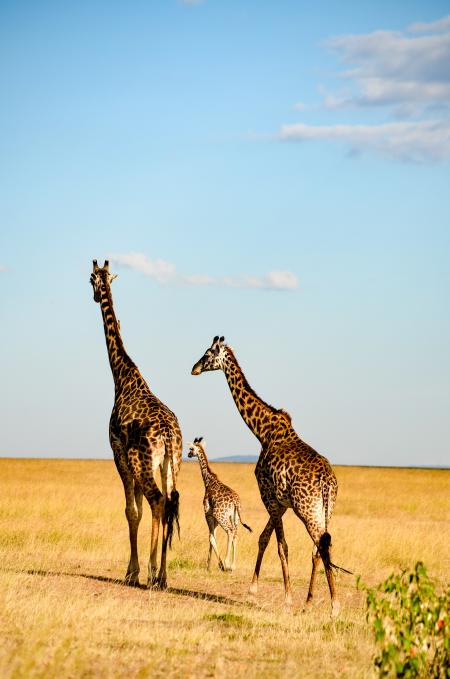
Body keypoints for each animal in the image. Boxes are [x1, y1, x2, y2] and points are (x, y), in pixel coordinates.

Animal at [89, 260, 182, 588]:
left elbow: (132, 511)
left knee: (158, 501)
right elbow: (139, 510)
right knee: (169, 503)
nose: (95, 295)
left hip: (141, 462)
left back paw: (154, 572)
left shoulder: (118, 453)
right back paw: (163, 575)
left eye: (90, 279)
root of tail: (168, 436)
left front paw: (132, 571)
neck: (122, 376)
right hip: (170, 465)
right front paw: (137, 569)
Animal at [185, 436, 251, 572]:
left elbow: (211, 537)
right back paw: (233, 565)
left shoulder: (208, 514)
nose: (188, 454)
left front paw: (216, 564)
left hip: (221, 516)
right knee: (236, 533)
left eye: (191, 448)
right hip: (235, 517)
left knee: (230, 531)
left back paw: (227, 563)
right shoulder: (214, 517)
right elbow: (213, 536)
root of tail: (235, 502)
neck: (208, 481)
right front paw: (209, 565)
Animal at [192, 338, 342, 620]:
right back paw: (309, 603)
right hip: (325, 510)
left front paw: (286, 600)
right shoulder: (280, 503)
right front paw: (252, 589)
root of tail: (328, 483)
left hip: (308, 509)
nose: (193, 368)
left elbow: (281, 546)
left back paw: (334, 607)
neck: (261, 431)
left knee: (322, 544)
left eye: (207, 354)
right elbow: (264, 538)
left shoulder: (268, 495)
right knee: (320, 547)